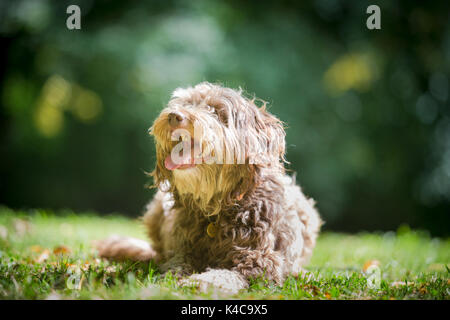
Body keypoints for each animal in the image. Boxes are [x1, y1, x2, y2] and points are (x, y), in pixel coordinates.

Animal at [97, 82, 324, 296]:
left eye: (216, 111)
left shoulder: (260, 262)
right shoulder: (181, 252)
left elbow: (225, 275)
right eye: (186, 103)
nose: (174, 116)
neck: (218, 207)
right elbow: (173, 267)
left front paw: (199, 282)